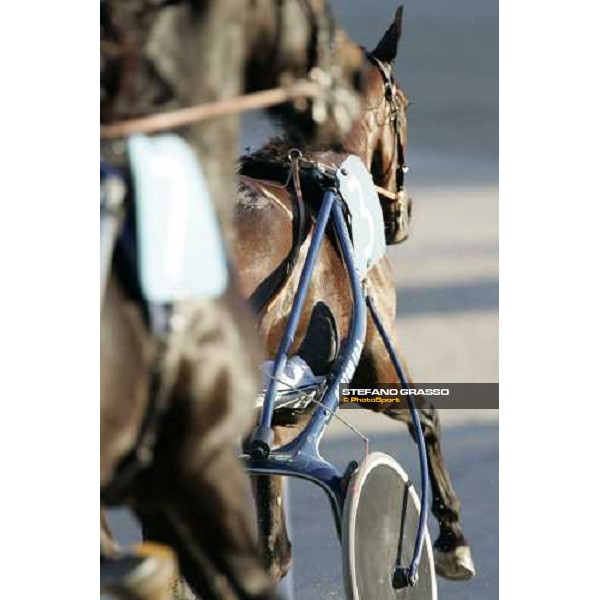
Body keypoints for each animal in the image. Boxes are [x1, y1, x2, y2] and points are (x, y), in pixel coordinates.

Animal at [232, 7, 476, 584]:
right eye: (404, 104)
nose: (403, 217)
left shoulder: (279, 413)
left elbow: (272, 546)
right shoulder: (373, 361)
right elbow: (427, 416)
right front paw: (451, 540)